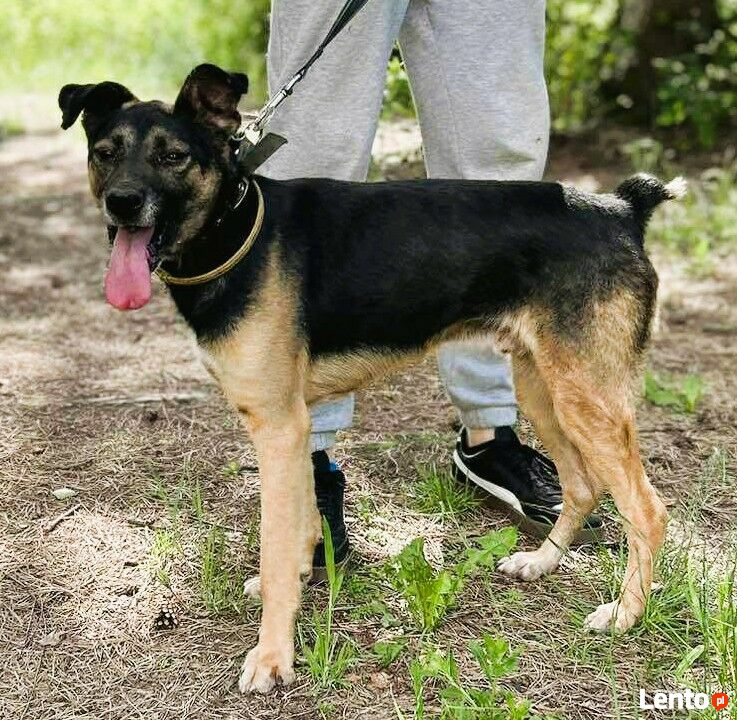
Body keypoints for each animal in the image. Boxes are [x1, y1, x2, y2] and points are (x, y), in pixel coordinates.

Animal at [59, 63, 683, 693]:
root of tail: (621, 208)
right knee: (581, 485)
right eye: (105, 152)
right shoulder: (295, 430)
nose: (121, 203)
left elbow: (275, 544)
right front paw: (304, 577)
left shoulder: (277, 428)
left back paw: (625, 613)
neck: (235, 233)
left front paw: (271, 655)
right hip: (544, 389)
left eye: (173, 156)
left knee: (648, 511)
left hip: (586, 399)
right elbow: (302, 521)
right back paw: (541, 562)